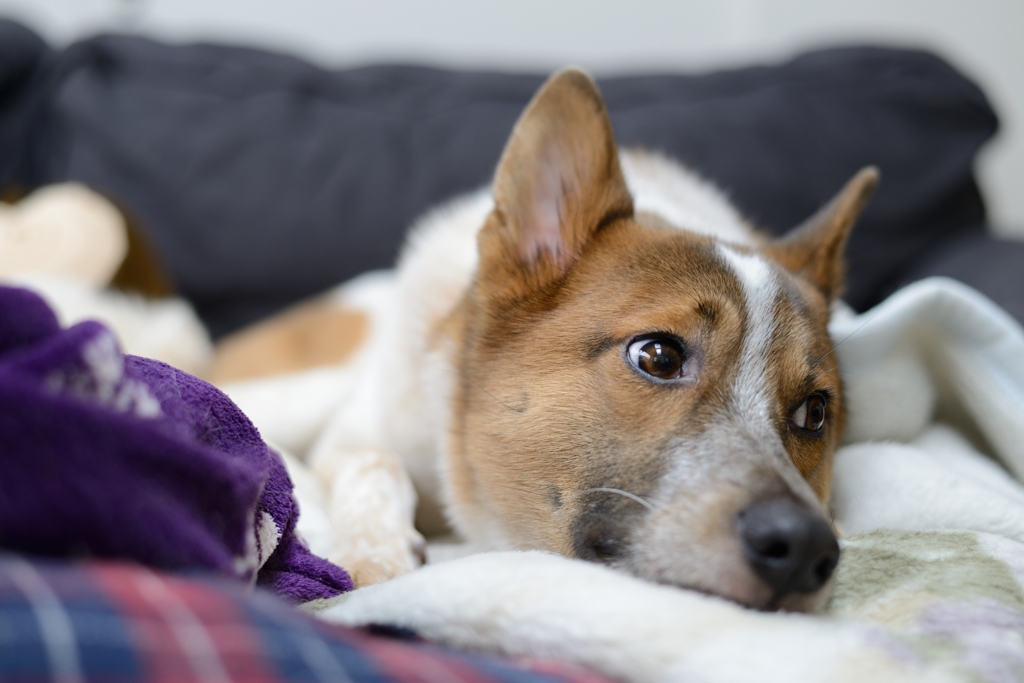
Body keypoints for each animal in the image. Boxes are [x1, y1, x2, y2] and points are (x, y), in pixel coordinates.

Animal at [211, 68, 876, 614]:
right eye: (658, 356)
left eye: (815, 412)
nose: (804, 549)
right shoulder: (362, 430)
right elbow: (374, 466)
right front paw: (381, 558)